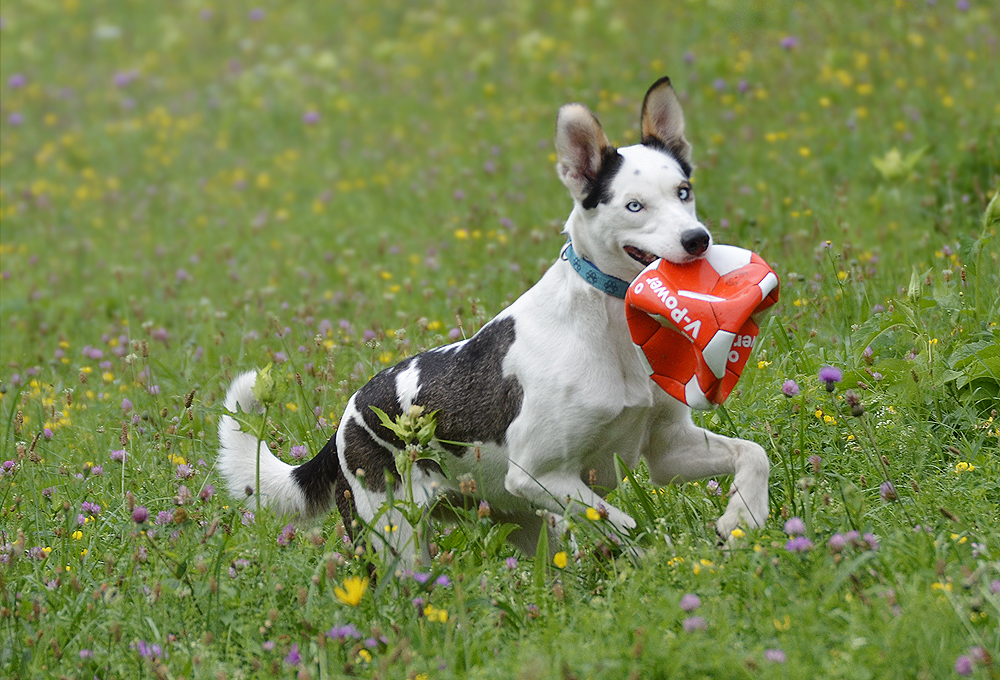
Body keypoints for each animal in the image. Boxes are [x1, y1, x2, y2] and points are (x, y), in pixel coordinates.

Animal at [217, 75, 764, 564]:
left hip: (521, 525)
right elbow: (621, 522)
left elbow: (753, 454)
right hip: (397, 543)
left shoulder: (667, 450)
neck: (609, 328)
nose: (697, 240)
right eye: (634, 206)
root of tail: (342, 424)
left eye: (684, 191)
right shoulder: (537, 473)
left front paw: (744, 518)